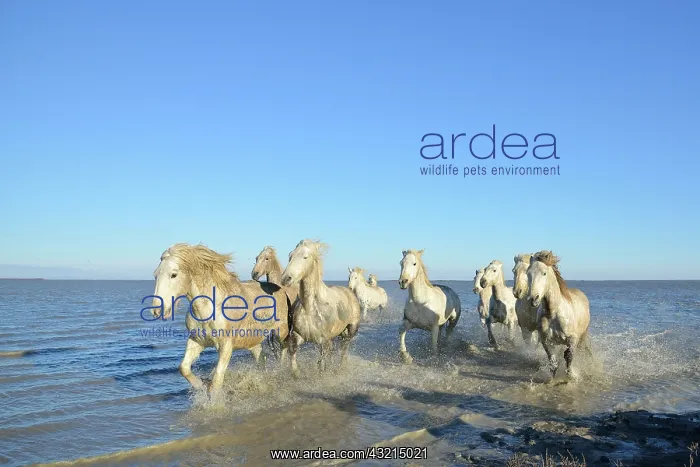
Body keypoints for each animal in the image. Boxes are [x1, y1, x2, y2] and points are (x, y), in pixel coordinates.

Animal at [150, 243, 290, 394]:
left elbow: (217, 380)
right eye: (156, 275)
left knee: (283, 352)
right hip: (253, 341)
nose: (157, 310)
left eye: (173, 275)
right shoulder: (196, 341)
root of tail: (280, 290)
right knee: (261, 357)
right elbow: (184, 368)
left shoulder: (226, 346)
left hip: (281, 333)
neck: (210, 308)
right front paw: (201, 385)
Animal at [280, 239, 361, 378]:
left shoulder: (324, 341)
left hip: (351, 329)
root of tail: (349, 291)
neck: (310, 309)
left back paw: (340, 368)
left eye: (305, 257)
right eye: (290, 256)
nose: (286, 279)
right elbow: (293, 360)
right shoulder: (297, 336)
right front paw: (297, 374)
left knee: (344, 349)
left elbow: (321, 365)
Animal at [527, 250, 592, 381]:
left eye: (544, 273)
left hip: (583, 336)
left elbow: (569, 356)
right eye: (528, 273)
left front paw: (571, 376)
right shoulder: (546, 341)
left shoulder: (573, 339)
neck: (553, 313)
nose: (533, 299)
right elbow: (553, 363)